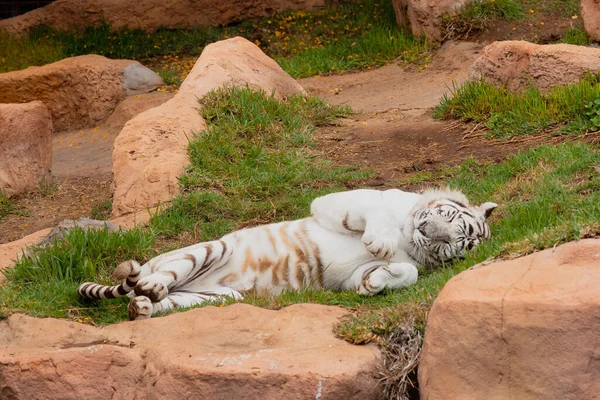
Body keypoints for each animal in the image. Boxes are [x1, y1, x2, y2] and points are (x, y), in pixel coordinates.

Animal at [77, 187, 494, 318]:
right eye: (445, 215)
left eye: (452, 244)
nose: (426, 230)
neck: (410, 240)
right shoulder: (334, 202)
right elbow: (375, 213)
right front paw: (381, 241)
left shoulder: (347, 278)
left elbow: (405, 273)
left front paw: (377, 281)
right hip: (211, 248)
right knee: (156, 279)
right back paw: (149, 288)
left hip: (220, 296)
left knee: (159, 301)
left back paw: (143, 306)